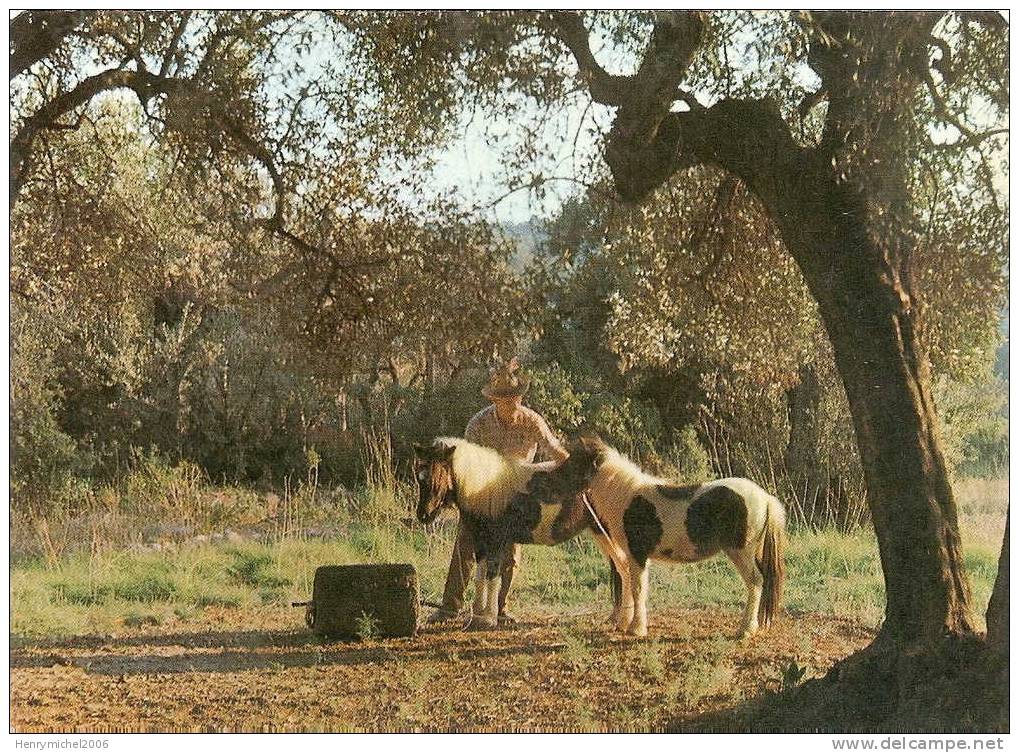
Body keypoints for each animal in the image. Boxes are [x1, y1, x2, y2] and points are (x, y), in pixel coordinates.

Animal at [574, 436, 786, 635]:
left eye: (574, 461)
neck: (627, 497)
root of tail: (766, 498)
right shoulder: (631, 556)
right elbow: (630, 583)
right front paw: (625, 624)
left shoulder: (638, 555)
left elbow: (637, 589)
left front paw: (636, 629)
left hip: (741, 552)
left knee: (755, 582)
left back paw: (746, 630)